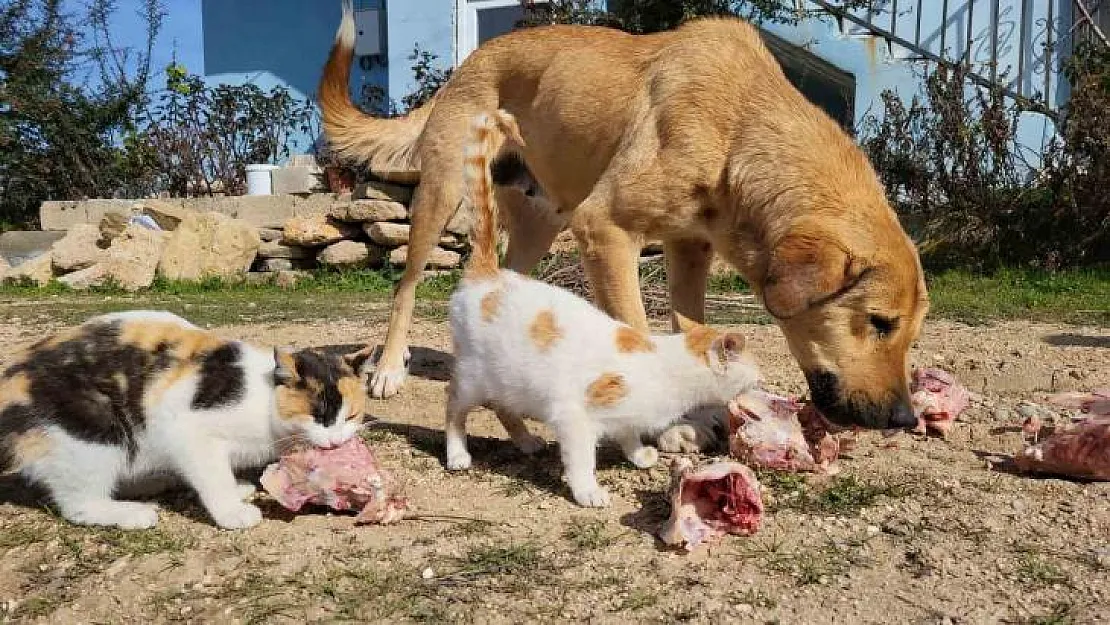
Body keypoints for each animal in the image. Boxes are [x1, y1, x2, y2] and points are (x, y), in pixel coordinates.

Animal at [0, 310, 366, 530]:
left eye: (351, 416)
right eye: (317, 415)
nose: (335, 441)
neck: (264, 401)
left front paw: (237, 489)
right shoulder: (186, 428)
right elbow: (212, 475)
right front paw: (231, 510)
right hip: (94, 431)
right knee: (78, 503)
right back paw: (132, 512)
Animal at [319, 1, 927, 430]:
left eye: (912, 333)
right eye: (879, 322)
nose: (905, 420)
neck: (738, 128)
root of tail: (472, 58)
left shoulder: (689, 249)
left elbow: (691, 329)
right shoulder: (605, 229)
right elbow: (638, 329)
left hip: (541, 222)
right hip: (442, 196)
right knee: (406, 285)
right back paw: (389, 367)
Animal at [441, 108, 763, 508]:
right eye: (755, 372)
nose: (762, 381)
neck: (666, 367)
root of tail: (488, 271)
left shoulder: (626, 415)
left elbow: (628, 431)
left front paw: (639, 454)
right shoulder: (574, 415)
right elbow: (582, 458)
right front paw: (587, 490)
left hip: (508, 379)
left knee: (503, 406)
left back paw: (526, 440)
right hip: (475, 375)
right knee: (454, 403)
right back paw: (458, 454)